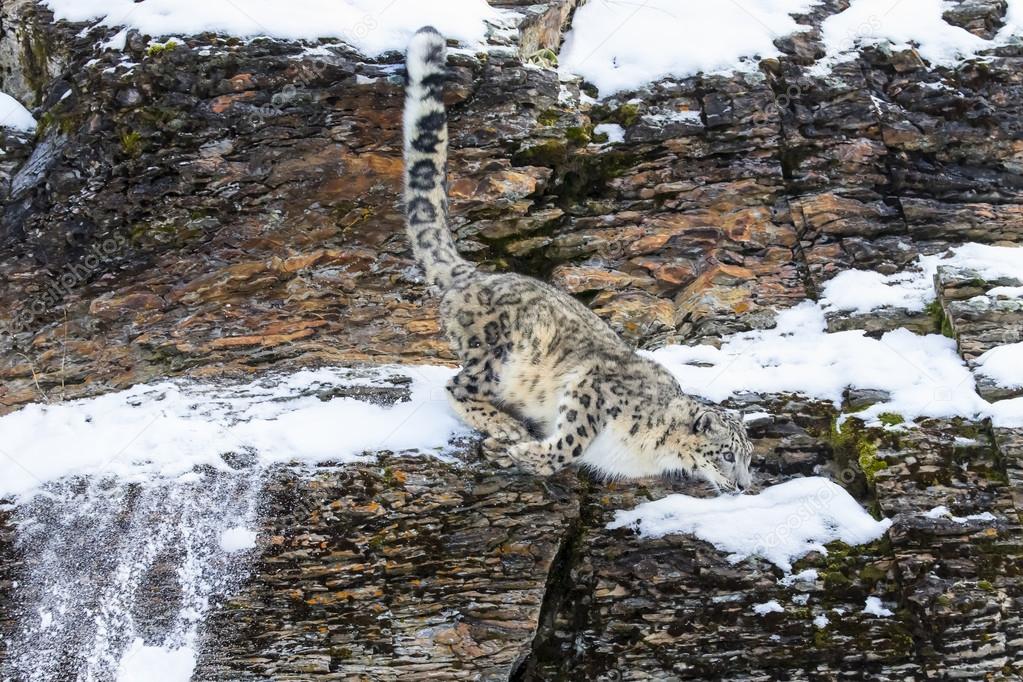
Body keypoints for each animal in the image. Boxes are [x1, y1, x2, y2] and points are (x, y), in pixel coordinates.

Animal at [403, 27, 753, 491]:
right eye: (728, 454)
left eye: (749, 458)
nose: (745, 485)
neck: (652, 454)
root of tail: (473, 274)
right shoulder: (591, 386)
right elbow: (570, 444)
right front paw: (523, 449)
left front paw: (509, 452)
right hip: (492, 353)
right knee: (456, 386)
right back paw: (506, 424)